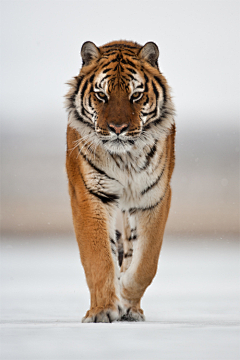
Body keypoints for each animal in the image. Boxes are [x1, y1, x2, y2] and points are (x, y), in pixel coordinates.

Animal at [64, 40, 175, 324]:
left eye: (135, 95)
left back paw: (131, 308)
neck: (124, 159)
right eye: (101, 95)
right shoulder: (90, 194)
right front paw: (102, 310)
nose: (117, 128)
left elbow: (146, 263)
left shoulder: (153, 198)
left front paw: (124, 295)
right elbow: (99, 258)